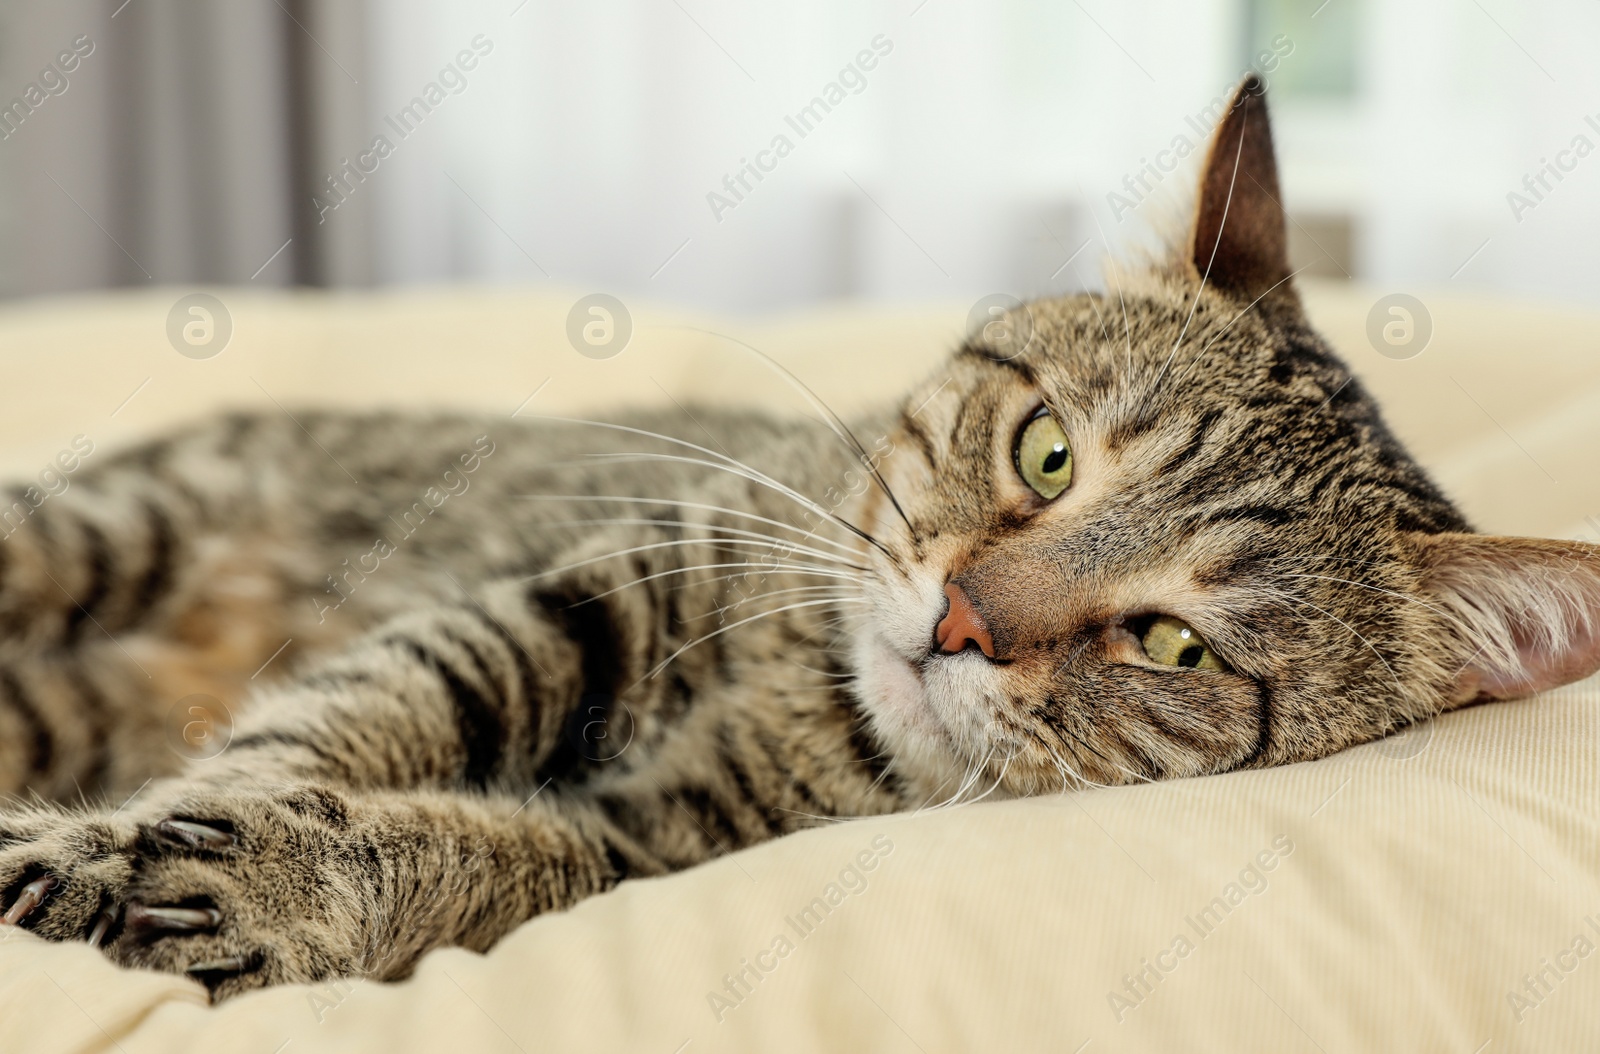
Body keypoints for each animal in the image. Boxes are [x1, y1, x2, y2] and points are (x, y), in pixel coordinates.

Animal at [3, 78, 1600, 1004]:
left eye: (1170, 643)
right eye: (1047, 452)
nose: (958, 618)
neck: (807, 688)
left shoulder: (650, 848)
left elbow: (490, 849)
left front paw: (262, 878)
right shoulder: (597, 587)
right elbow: (350, 715)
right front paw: (132, 833)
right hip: (108, 527)